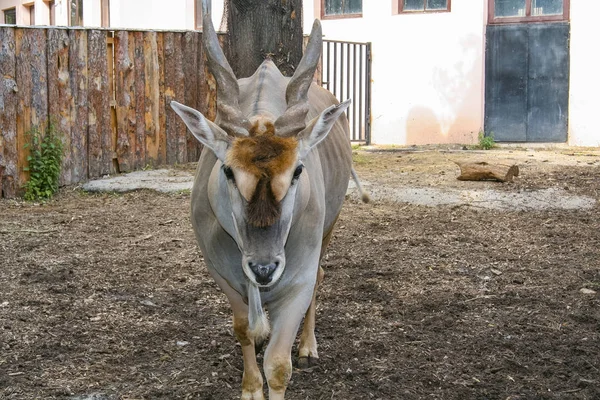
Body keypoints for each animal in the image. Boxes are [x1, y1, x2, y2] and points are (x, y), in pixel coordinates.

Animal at [169, 4, 366, 398]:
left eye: (297, 170)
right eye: (228, 171)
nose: (263, 269)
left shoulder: (298, 281)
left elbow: (277, 364)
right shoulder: (224, 276)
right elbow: (244, 329)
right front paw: (250, 386)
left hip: (329, 230)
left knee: (321, 277)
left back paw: (308, 349)